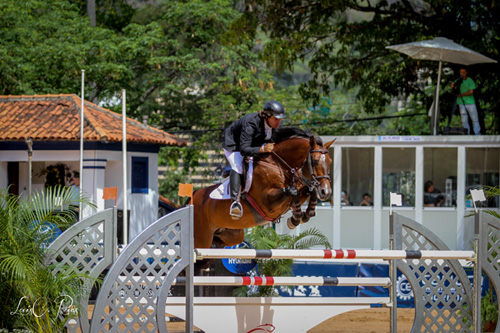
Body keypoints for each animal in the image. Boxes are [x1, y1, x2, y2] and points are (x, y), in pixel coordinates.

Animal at [193, 127, 334, 249]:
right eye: (315, 161)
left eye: (330, 161)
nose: (326, 192)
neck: (277, 165)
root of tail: (194, 195)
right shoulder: (268, 204)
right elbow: (293, 191)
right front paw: (296, 218)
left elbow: (308, 191)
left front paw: (303, 215)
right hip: (202, 239)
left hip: (231, 235)